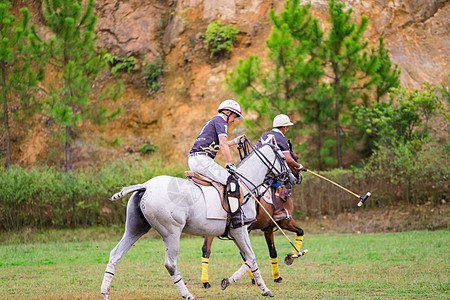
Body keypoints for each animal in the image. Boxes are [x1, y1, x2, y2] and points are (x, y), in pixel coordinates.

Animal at [100, 137, 296, 298]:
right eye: (284, 158)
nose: (293, 179)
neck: (245, 184)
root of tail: (146, 186)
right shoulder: (240, 229)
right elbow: (251, 257)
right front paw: (232, 282)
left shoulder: (235, 233)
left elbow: (249, 259)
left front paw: (262, 289)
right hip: (171, 232)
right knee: (170, 264)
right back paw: (187, 295)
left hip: (136, 228)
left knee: (115, 254)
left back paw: (105, 292)